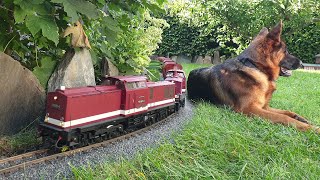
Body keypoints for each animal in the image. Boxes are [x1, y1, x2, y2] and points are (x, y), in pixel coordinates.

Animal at [189, 21, 318, 133]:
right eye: (286, 51)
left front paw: (302, 119)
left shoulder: (264, 106)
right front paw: (313, 128)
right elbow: (283, 117)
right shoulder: (250, 109)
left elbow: (287, 112)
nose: (302, 63)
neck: (256, 67)